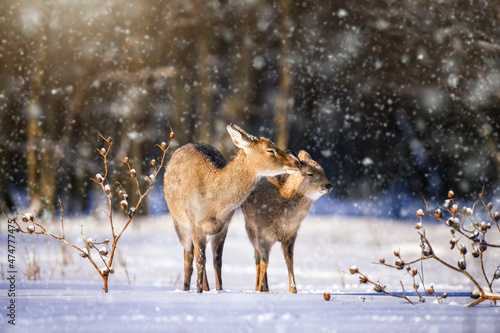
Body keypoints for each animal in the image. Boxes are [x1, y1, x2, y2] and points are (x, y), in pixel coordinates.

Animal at [163, 123, 300, 292]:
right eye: (270, 150)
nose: (297, 163)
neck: (213, 203)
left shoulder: (224, 226)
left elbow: (217, 261)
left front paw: (219, 290)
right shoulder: (195, 223)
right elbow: (199, 260)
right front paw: (198, 291)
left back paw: (206, 288)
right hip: (178, 221)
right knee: (188, 257)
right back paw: (186, 288)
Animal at [241, 150, 332, 294]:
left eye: (323, 170)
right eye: (310, 173)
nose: (328, 185)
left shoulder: (291, 236)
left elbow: (290, 260)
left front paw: (293, 290)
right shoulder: (263, 234)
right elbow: (264, 262)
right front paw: (258, 291)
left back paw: (266, 288)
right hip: (250, 230)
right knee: (257, 258)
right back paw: (259, 287)